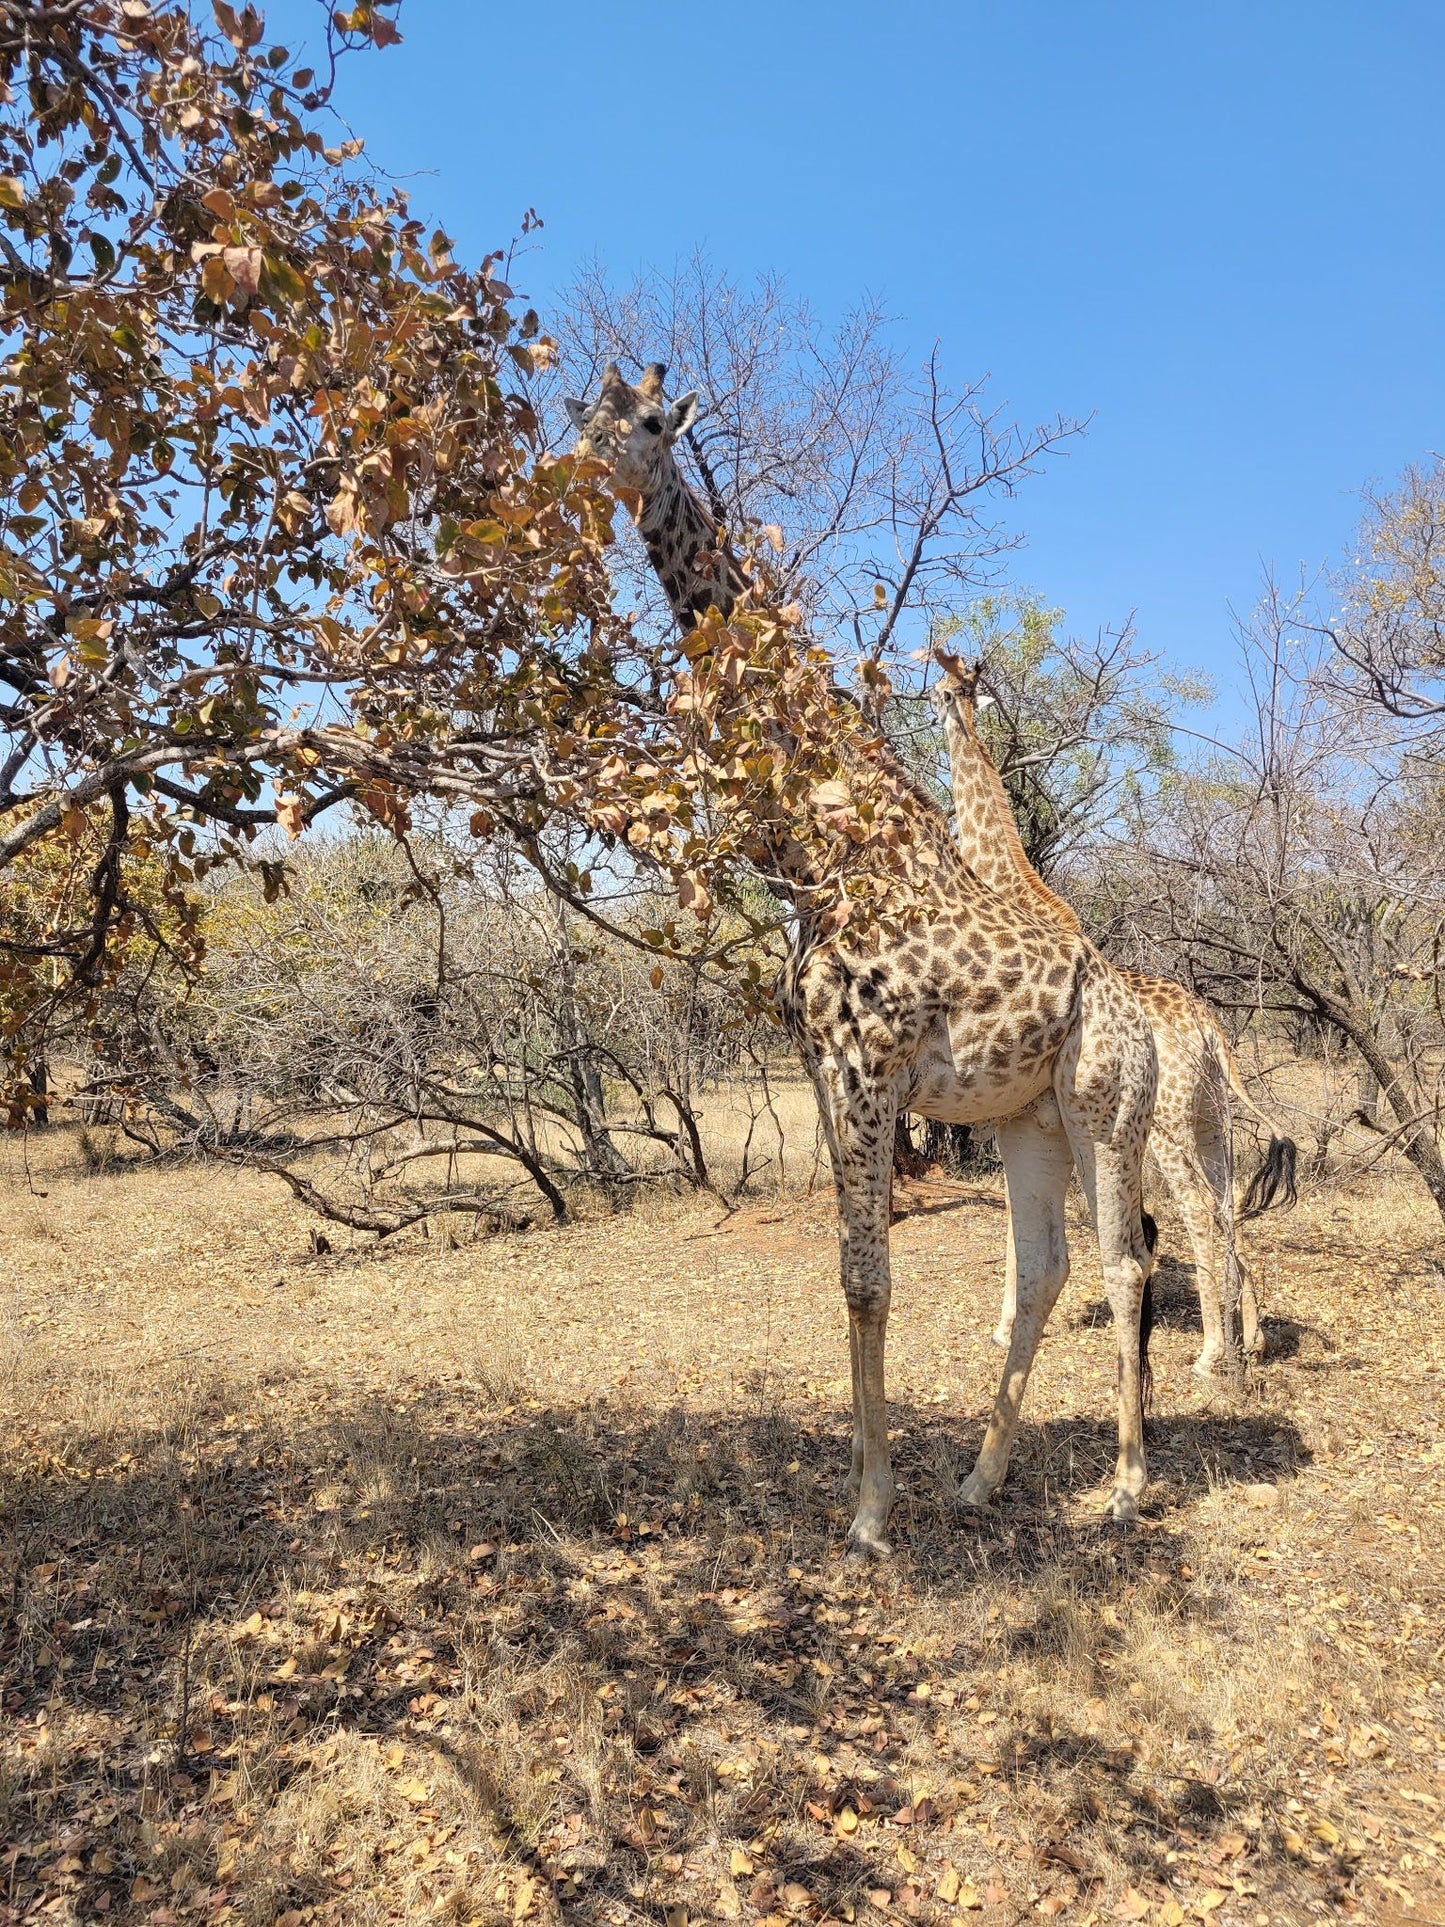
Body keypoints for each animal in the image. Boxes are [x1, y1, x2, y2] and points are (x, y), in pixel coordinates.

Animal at [566, 368, 1163, 1557]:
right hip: (1026, 1121)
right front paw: (858, 1478)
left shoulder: (866, 1068)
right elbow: (847, 1275)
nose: (585, 470)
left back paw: (1124, 1487)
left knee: (1122, 1263)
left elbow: (867, 1280)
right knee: (1042, 1269)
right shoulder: (817, 1065)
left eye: (648, 424)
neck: (821, 845)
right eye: (579, 412)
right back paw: (980, 1479)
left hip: (1103, 1108)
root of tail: (1152, 1029)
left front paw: (871, 1512)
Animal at [932, 655, 1310, 1379]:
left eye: (943, 689)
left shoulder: (1016, 1111)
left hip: (1164, 1123)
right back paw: (1250, 1337)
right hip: (1209, 1122)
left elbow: (1017, 1218)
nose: (932, 699)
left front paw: (1003, 1327)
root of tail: (1211, 1031)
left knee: (1200, 1209)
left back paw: (1209, 1354)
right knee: (1227, 1207)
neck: (1013, 887)